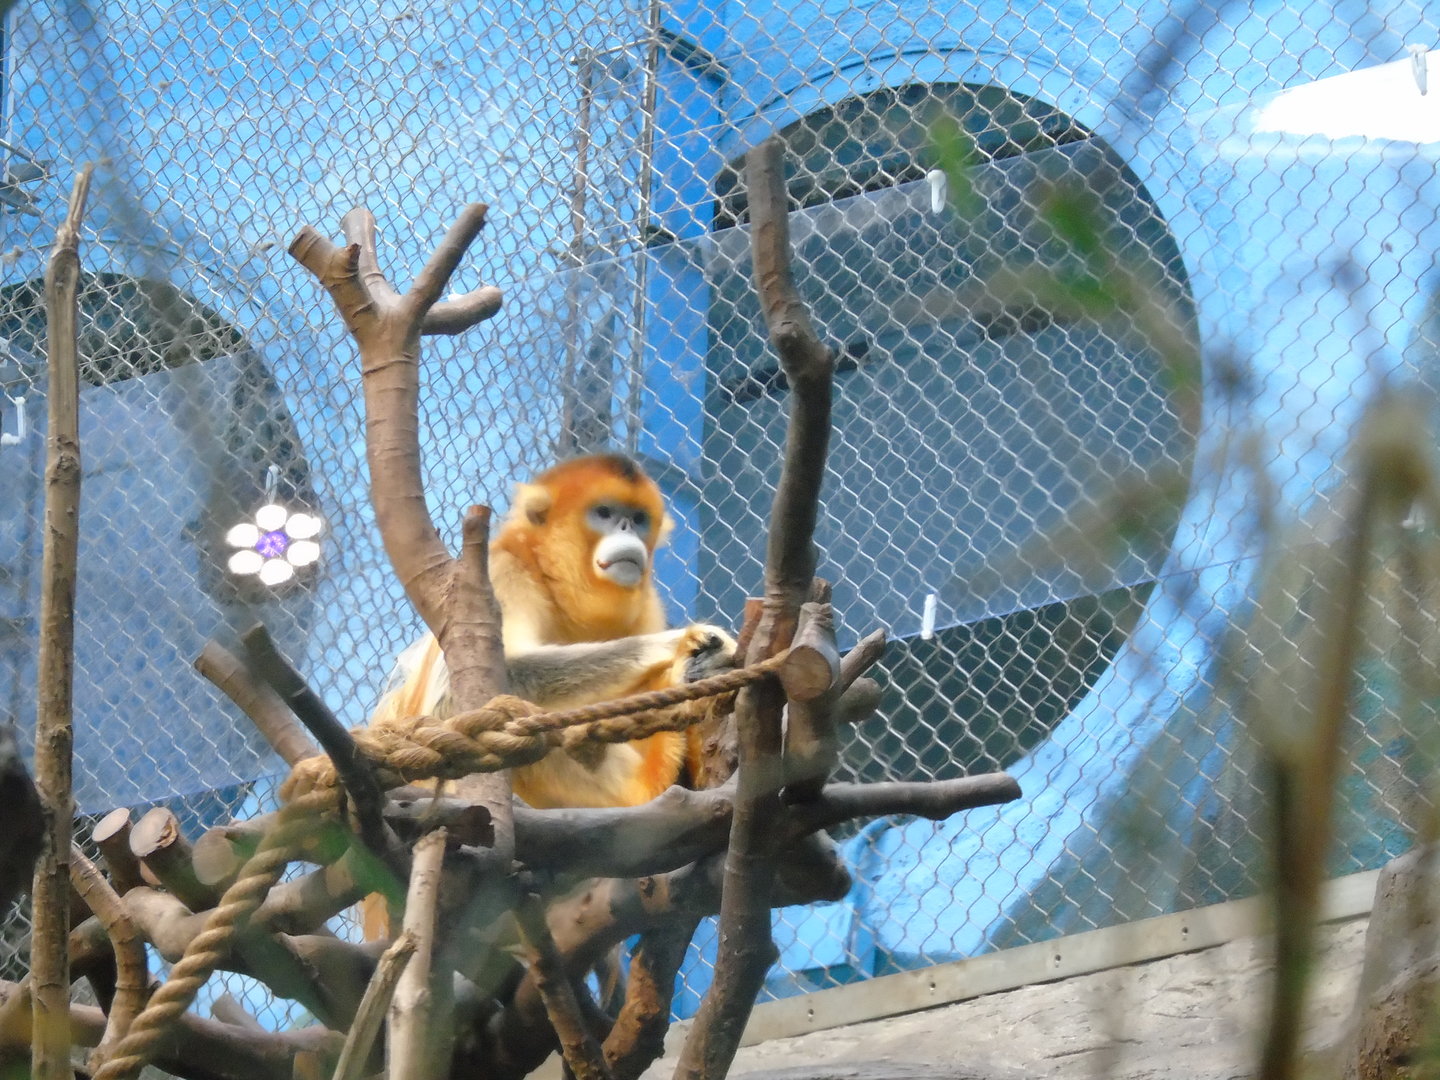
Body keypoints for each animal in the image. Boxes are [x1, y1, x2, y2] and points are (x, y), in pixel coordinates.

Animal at [369, 452, 737, 809]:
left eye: (638, 518)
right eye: (604, 513)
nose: (627, 529)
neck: (555, 582)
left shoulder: (648, 607)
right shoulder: (501, 572)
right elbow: (471, 689)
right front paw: (683, 641)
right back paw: (641, 788)